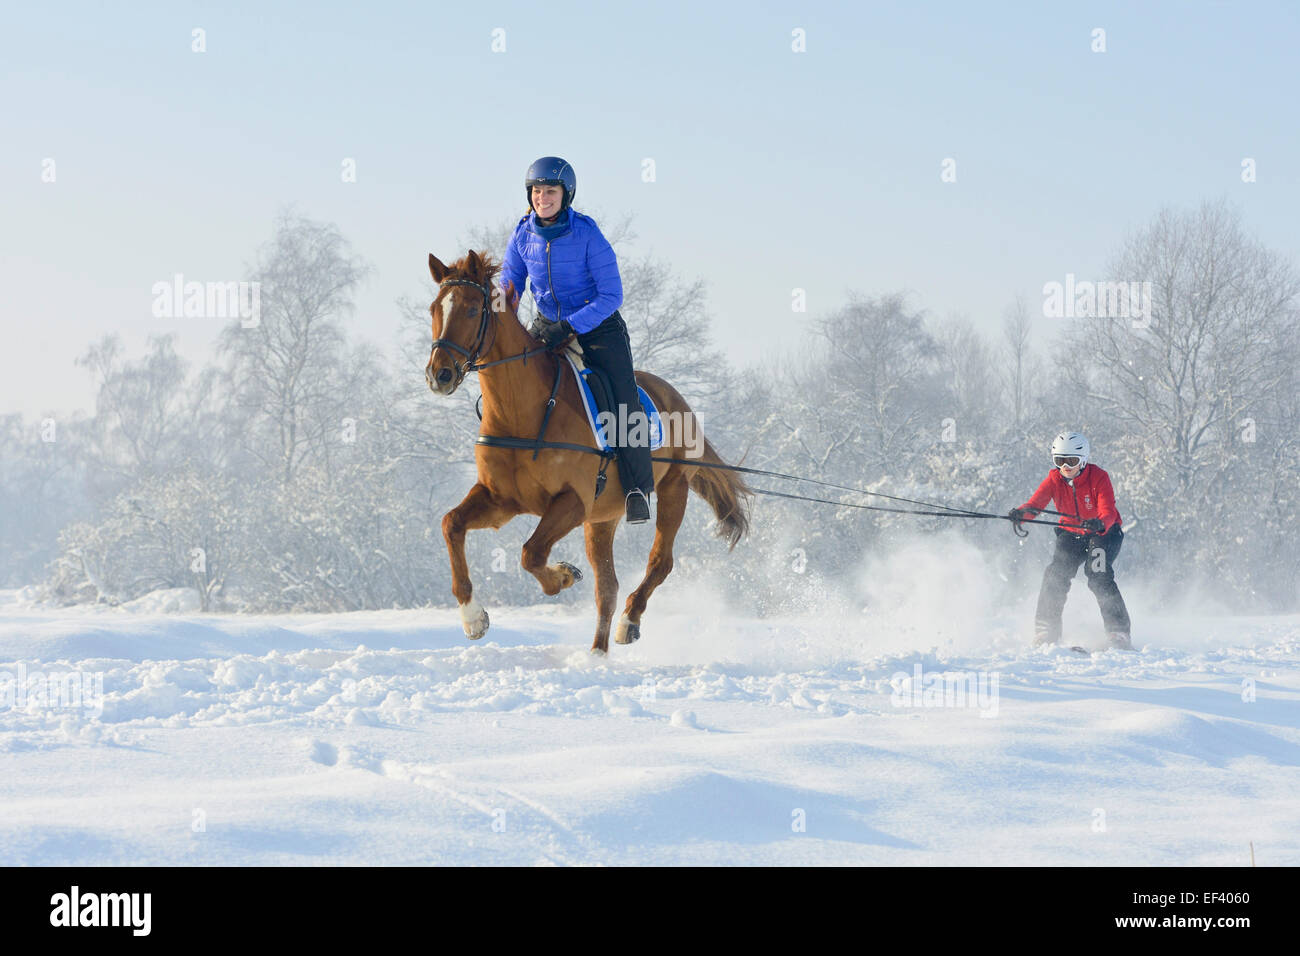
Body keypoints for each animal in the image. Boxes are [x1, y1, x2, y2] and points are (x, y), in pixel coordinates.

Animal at [426, 251, 754, 655]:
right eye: (434, 309)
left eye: (472, 309)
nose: (438, 375)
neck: (526, 413)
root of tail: (678, 399)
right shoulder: (501, 500)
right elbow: (451, 524)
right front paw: (473, 618)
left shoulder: (573, 501)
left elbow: (531, 552)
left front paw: (564, 576)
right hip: (603, 518)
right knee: (607, 588)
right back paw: (597, 654)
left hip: (672, 489)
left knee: (660, 562)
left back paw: (628, 622)